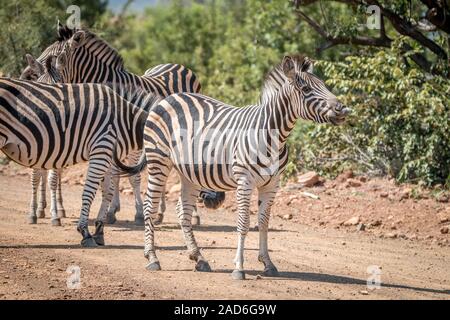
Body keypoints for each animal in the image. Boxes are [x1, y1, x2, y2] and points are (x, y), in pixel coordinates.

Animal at [0, 76, 158, 246]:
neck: (124, 121)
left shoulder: (106, 155)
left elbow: (107, 193)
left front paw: (99, 231)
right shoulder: (101, 149)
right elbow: (89, 192)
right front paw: (85, 232)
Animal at [21, 23, 225, 225]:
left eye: (54, 55)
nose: (26, 75)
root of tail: (177, 65)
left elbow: (128, 177)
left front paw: (135, 213)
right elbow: (111, 176)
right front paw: (110, 211)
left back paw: (191, 215)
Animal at [141, 55, 352, 280]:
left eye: (324, 85)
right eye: (305, 89)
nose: (342, 109)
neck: (274, 136)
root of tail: (170, 97)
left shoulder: (272, 184)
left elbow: (263, 223)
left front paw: (268, 263)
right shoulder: (245, 180)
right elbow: (243, 223)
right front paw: (239, 268)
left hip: (189, 173)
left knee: (184, 213)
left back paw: (199, 258)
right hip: (158, 161)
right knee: (150, 207)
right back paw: (152, 258)